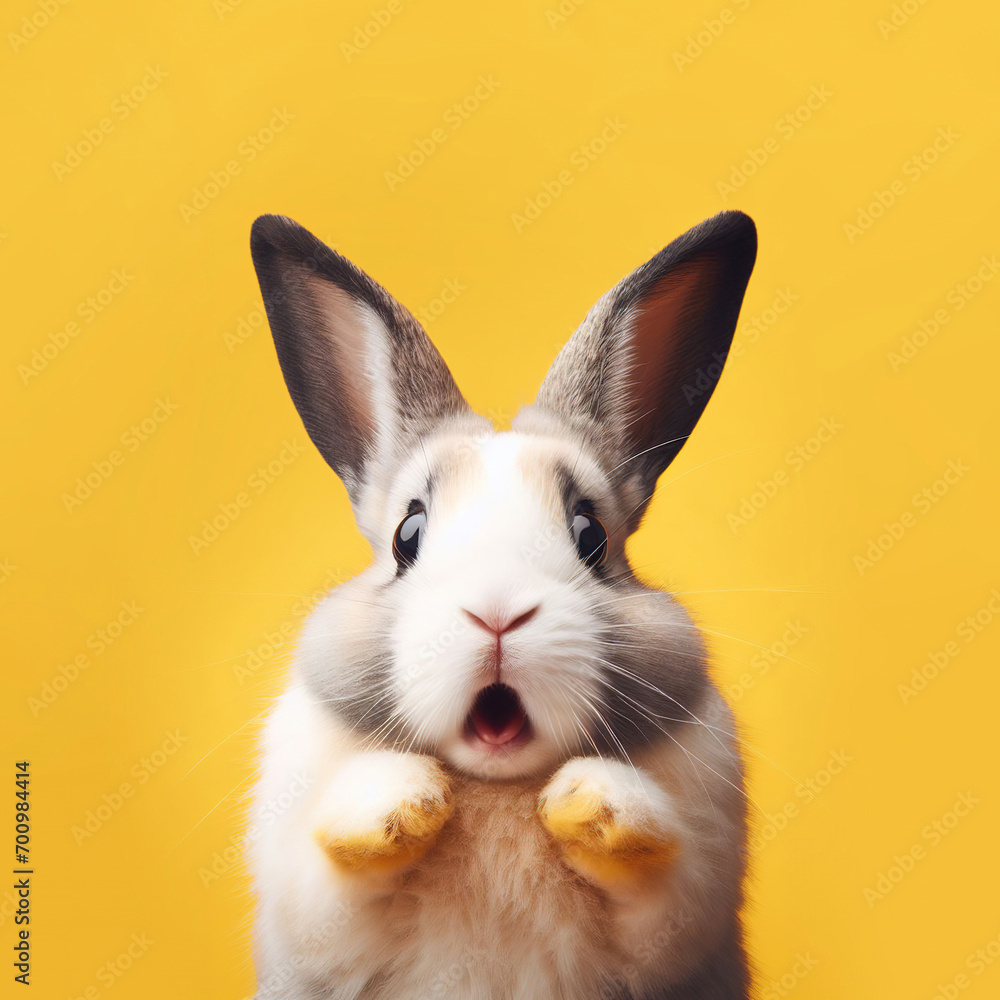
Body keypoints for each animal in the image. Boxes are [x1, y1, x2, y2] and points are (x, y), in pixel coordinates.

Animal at [247, 209, 758, 1000]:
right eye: (407, 535)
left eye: (590, 534)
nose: (497, 613)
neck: (495, 788)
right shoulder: (308, 908)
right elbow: (334, 884)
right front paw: (404, 799)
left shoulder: (688, 907)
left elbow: (658, 886)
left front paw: (594, 803)